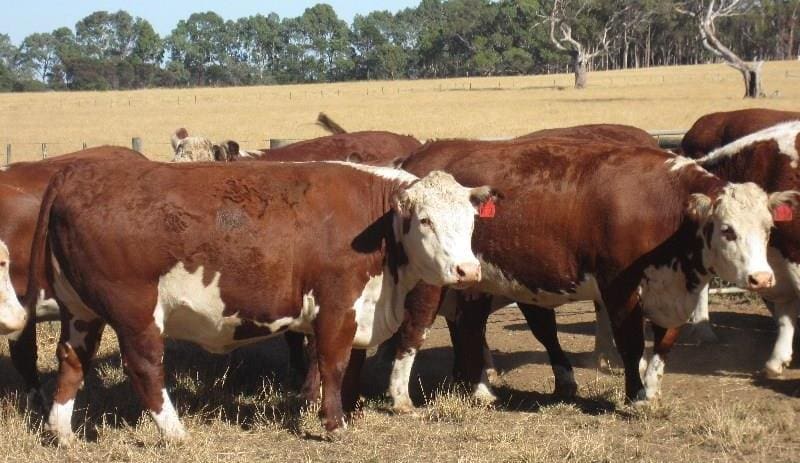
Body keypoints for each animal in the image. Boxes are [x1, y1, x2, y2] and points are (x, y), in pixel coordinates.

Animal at [28, 160, 494, 446]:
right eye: (425, 220)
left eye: (472, 221)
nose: (467, 270)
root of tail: (78, 172)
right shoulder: (338, 304)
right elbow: (334, 364)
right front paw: (335, 424)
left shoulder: (361, 308)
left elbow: (353, 365)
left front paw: (352, 412)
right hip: (136, 311)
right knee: (145, 368)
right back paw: (175, 432)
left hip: (81, 312)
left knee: (72, 362)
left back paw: (63, 433)